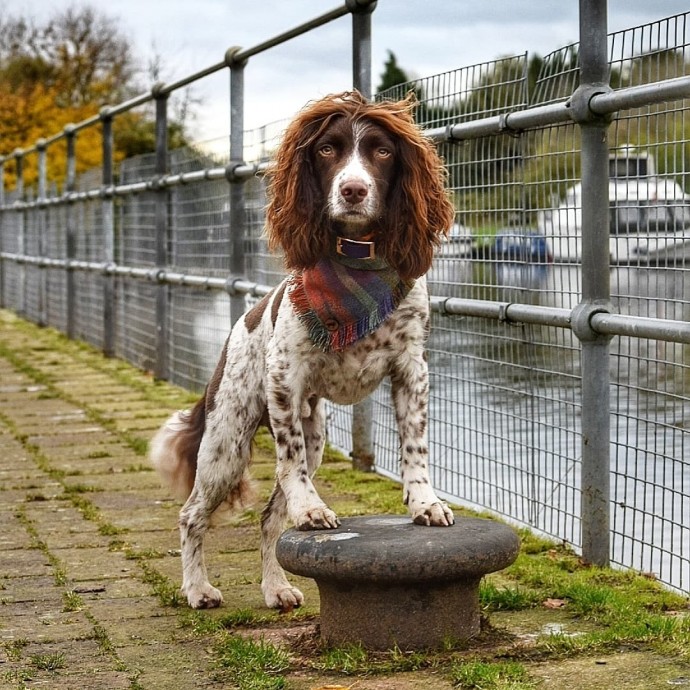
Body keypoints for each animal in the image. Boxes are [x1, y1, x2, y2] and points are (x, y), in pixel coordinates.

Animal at [148, 90, 454, 608]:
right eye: (327, 150)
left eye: (382, 151)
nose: (353, 190)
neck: (357, 264)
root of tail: (240, 324)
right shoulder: (284, 379)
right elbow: (289, 464)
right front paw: (312, 509)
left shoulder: (411, 368)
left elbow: (415, 446)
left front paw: (425, 502)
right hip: (226, 441)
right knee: (193, 513)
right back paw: (198, 589)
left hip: (315, 436)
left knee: (270, 517)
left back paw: (275, 587)